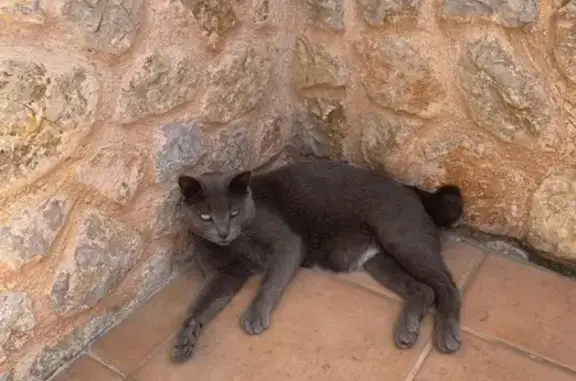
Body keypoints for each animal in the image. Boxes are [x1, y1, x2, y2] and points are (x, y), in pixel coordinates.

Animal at [172, 158, 464, 362]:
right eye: (205, 217)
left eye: (234, 212)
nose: (223, 232)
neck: (234, 244)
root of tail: (413, 190)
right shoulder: (224, 275)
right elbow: (200, 305)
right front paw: (184, 338)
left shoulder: (287, 244)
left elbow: (269, 284)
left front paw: (255, 315)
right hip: (379, 261)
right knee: (423, 289)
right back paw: (408, 329)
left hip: (401, 239)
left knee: (446, 285)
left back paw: (447, 334)